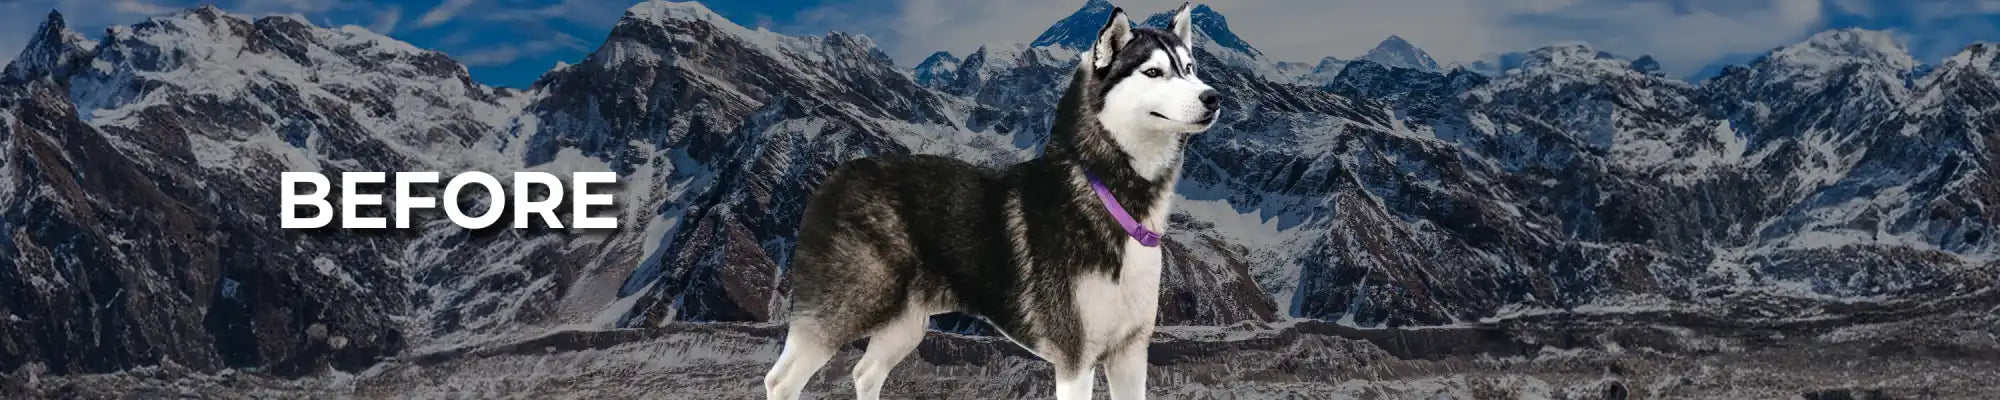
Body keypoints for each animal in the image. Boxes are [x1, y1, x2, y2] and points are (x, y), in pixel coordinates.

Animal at [764, 3, 1216, 400]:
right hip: (845, 308)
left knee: (865, 372)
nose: (1213, 97)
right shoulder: (1075, 360)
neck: (1110, 200)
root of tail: (837, 175)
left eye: (1190, 68)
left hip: (905, 326)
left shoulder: (1130, 355)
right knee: (781, 380)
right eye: (1153, 72)